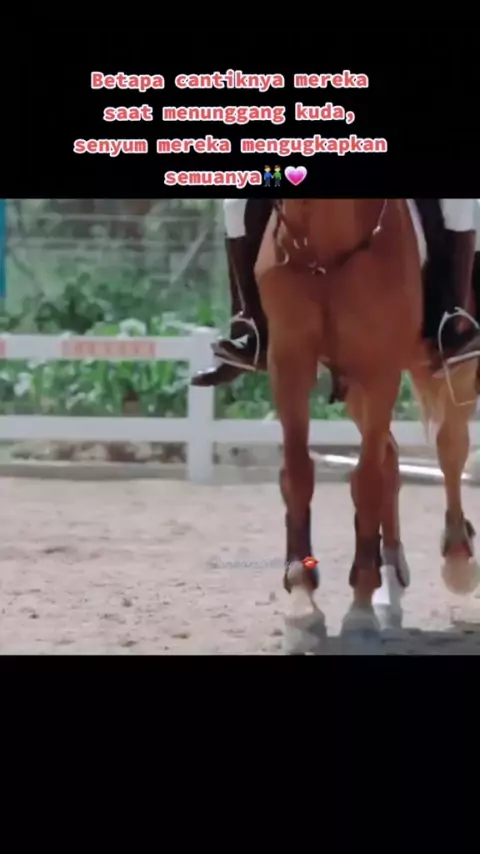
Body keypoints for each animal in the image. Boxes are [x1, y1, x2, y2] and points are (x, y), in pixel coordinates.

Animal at [254, 198, 479, 654]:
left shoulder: (379, 369)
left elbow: (368, 483)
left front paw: (358, 612)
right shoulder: (289, 362)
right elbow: (299, 475)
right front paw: (303, 606)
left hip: (454, 369)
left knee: (449, 450)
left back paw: (458, 560)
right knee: (391, 456)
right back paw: (389, 591)